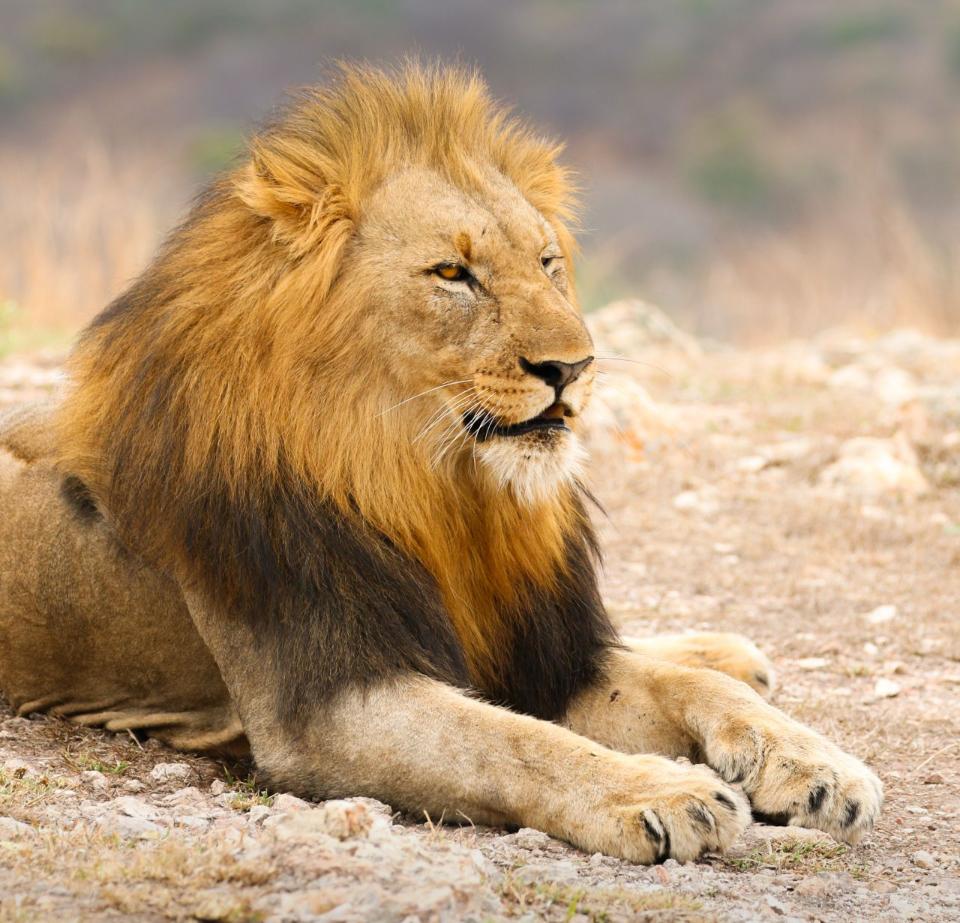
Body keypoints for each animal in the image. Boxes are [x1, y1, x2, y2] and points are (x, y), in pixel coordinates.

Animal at [0, 63, 881, 863]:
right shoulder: (326, 707)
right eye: (454, 273)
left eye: (548, 262)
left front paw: (818, 765)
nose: (574, 366)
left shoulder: (545, 653)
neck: (435, 487)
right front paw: (662, 791)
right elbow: (513, 742)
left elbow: (681, 687)